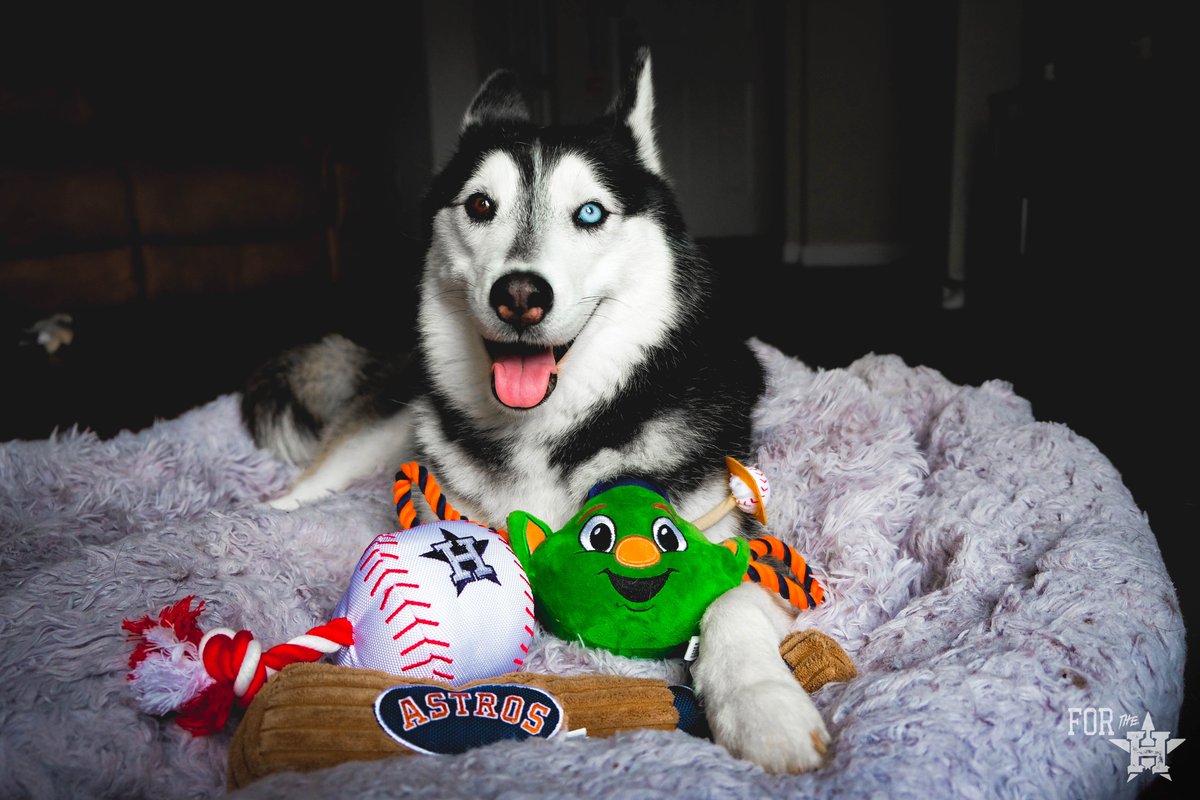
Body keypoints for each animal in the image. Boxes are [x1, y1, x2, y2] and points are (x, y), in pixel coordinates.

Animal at [240, 48, 830, 767]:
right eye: (480, 204)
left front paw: (764, 710)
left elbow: (733, 607)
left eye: (590, 214)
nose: (520, 294)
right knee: (310, 483)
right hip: (391, 420)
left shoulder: (738, 540)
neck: (554, 428)